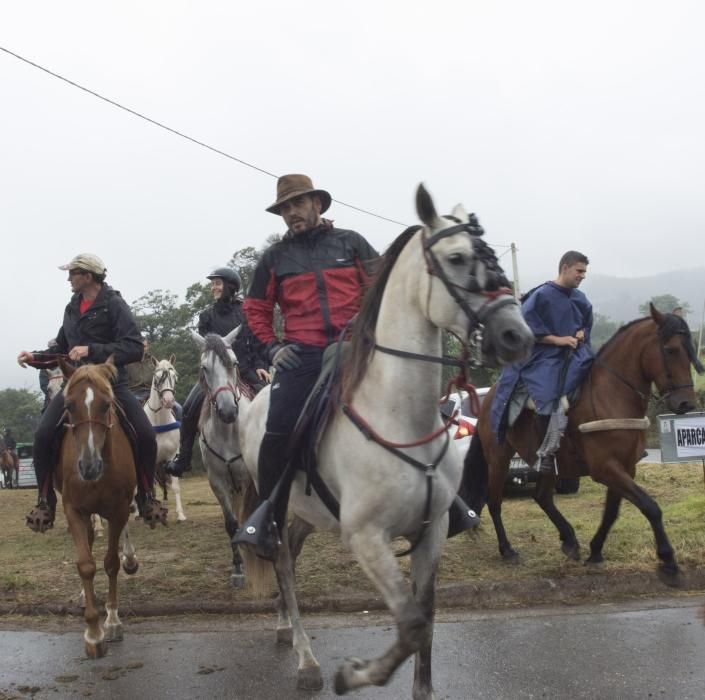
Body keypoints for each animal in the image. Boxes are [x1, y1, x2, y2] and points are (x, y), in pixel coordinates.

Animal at [57, 358, 140, 660]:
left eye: (106, 405)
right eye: (69, 406)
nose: (89, 466)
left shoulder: (118, 511)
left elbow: (111, 563)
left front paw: (112, 621)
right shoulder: (73, 510)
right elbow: (86, 565)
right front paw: (93, 633)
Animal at [238, 183, 532, 696]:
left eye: (492, 257)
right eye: (457, 258)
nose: (518, 335)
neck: (399, 418)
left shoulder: (432, 531)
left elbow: (426, 619)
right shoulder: (367, 539)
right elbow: (411, 624)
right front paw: (353, 674)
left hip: (309, 512)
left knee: (291, 550)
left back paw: (283, 627)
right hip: (278, 501)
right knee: (282, 561)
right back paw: (307, 659)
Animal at [462, 306, 700, 584]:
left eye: (690, 348)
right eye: (670, 349)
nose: (686, 403)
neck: (612, 393)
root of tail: (488, 397)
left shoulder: (625, 467)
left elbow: (611, 512)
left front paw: (595, 551)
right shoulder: (605, 468)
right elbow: (650, 507)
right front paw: (668, 561)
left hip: (549, 464)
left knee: (542, 497)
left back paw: (569, 539)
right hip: (498, 458)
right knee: (495, 502)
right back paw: (507, 550)